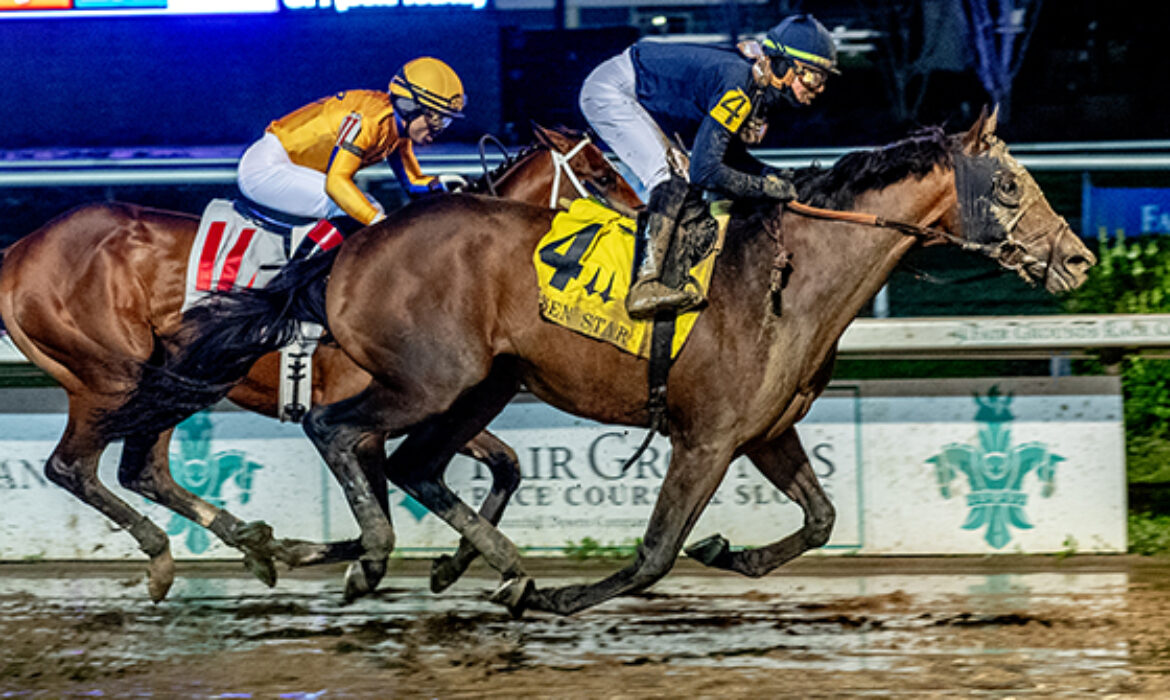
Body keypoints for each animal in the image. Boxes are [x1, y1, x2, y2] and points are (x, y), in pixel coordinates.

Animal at [0, 124, 641, 604]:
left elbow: (504, 465)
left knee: (143, 470)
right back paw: (171, 553)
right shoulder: (379, 411)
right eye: (602, 176)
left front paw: (454, 563)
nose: (642, 220)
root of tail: (20, 250)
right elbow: (379, 512)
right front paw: (357, 561)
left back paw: (246, 541)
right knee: (73, 467)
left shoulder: (430, 399)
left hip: (173, 383)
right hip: (111, 377)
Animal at [109, 112, 1095, 618]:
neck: (788, 275)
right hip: (429, 378)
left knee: (416, 464)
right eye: (1012, 184)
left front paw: (731, 550)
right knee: (337, 429)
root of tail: (352, 248)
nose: (1079, 260)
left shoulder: (766, 432)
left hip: (482, 385)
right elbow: (654, 556)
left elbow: (819, 520)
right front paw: (570, 596)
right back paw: (362, 555)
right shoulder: (707, 439)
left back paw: (485, 566)